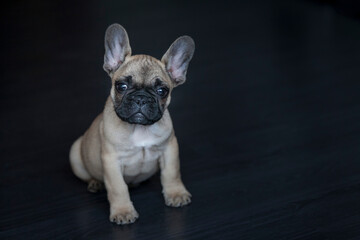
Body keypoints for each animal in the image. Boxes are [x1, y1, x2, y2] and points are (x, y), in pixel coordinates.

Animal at [69, 23, 195, 225]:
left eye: (162, 91)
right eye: (121, 86)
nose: (141, 98)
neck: (140, 129)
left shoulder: (169, 149)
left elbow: (172, 173)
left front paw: (176, 194)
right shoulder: (111, 161)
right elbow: (118, 188)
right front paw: (123, 211)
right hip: (75, 153)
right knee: (88, 176)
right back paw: (95, 183)